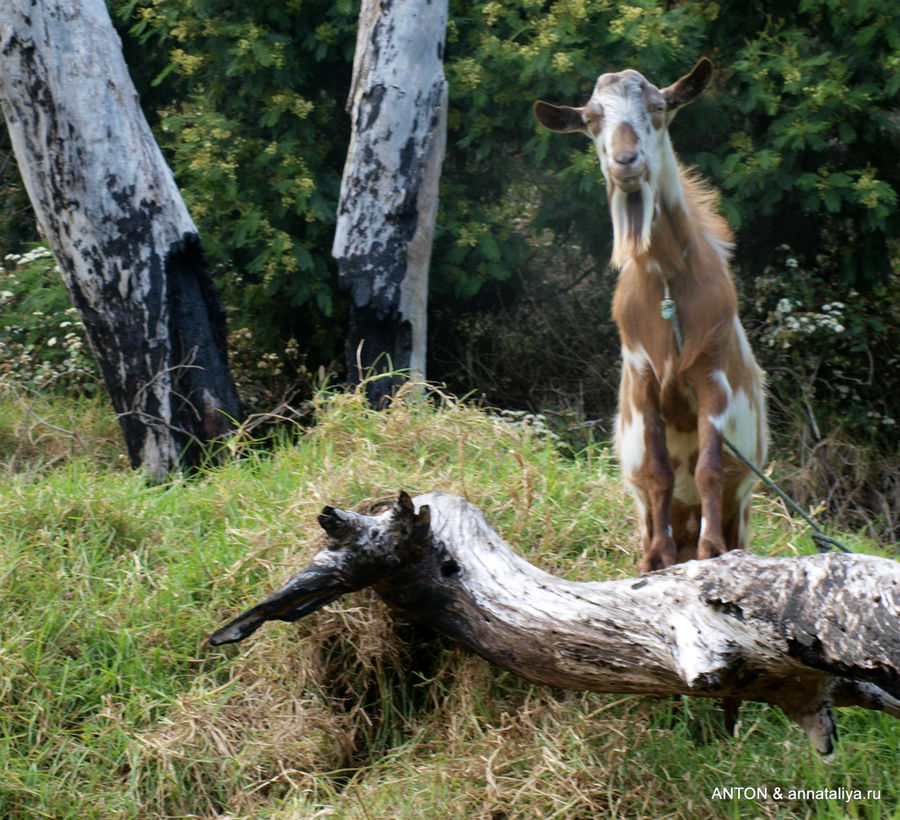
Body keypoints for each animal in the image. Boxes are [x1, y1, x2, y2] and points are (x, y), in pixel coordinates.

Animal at [536, 57, 768, 572]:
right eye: (590, 119)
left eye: (659, 108)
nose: (626, 162)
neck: (666, 284)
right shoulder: (641, 374)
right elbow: (660, 472)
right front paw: (655, 559)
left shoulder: (711, 371)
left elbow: (708, 467)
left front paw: (710, 551)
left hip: (742, 506)